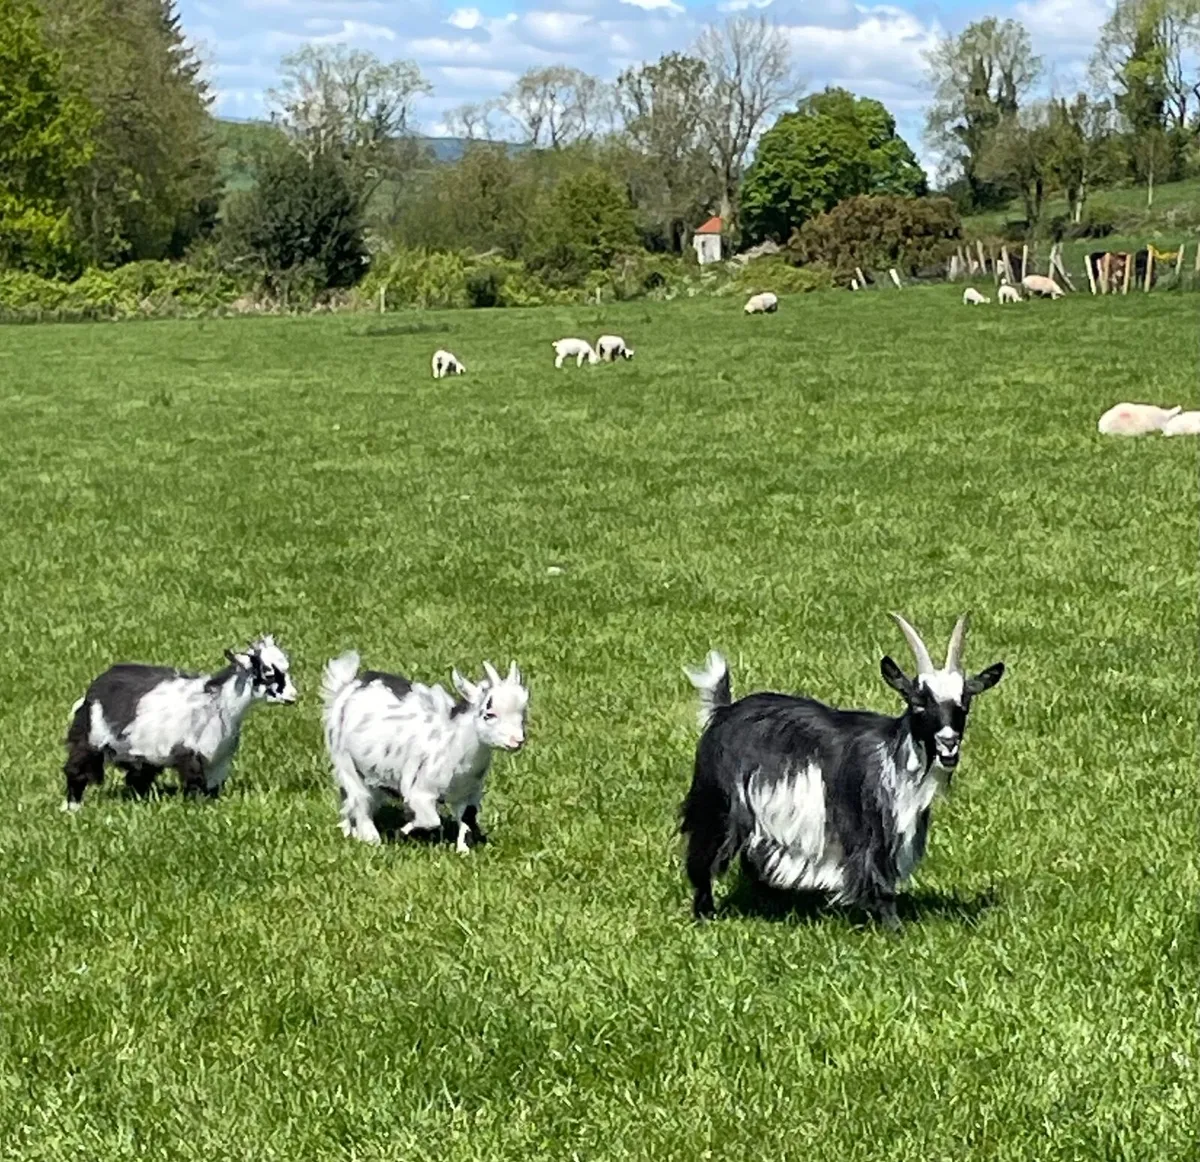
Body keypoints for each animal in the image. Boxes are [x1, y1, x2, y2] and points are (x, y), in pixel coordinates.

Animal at [62, 635, 296, 811]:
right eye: (268, 674)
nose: (293, 696)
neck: (217, 704)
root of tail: (94, 688)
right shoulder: (189, 754)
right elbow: (195, 786)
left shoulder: (218, 761)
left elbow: (211, 789)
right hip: (90, 738)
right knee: (76, 770)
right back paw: (72, 807)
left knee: (137, 778)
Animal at [322, 652, 529, 851]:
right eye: (489, 714)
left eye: (522, 714)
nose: (517, 740)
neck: (451, 744)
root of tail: (346, 687)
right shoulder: (420, 791)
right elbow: (431, 820)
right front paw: (402, 831)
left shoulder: (469, 794)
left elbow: (466, 821)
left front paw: (463, 851)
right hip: (344, 760)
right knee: (360, 800)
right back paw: (372, 839)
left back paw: (350, 831)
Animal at [679, 614, 1005, 925]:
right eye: (918, 702)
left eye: (964, 703)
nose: (948, 742)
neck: (893, 755)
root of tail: (723, 711)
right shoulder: (865, 829)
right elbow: (879, 881)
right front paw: (895, 930)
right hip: (717, 803)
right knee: (703, 858)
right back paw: (705, 914)